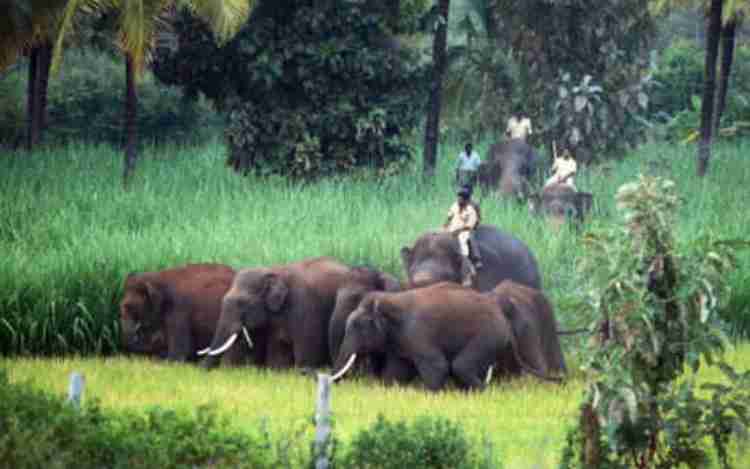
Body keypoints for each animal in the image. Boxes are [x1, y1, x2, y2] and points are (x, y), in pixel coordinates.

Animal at [200, 256, 364, 370]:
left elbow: (306, 350)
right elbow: (278, 352)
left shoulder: (304, 305)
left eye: (242, 303)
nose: (201, 370)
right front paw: (278, 373)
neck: (275, 272)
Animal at [334, 280, 560, 390]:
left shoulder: (419, 333)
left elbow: (437, 365)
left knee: (461, 366)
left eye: (358, 326)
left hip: (487, 336)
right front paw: (389, 388)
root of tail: (500, 313)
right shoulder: (401, 341)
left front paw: (431, 394)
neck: (392, 300)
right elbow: (397, 370)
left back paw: (481, 391)